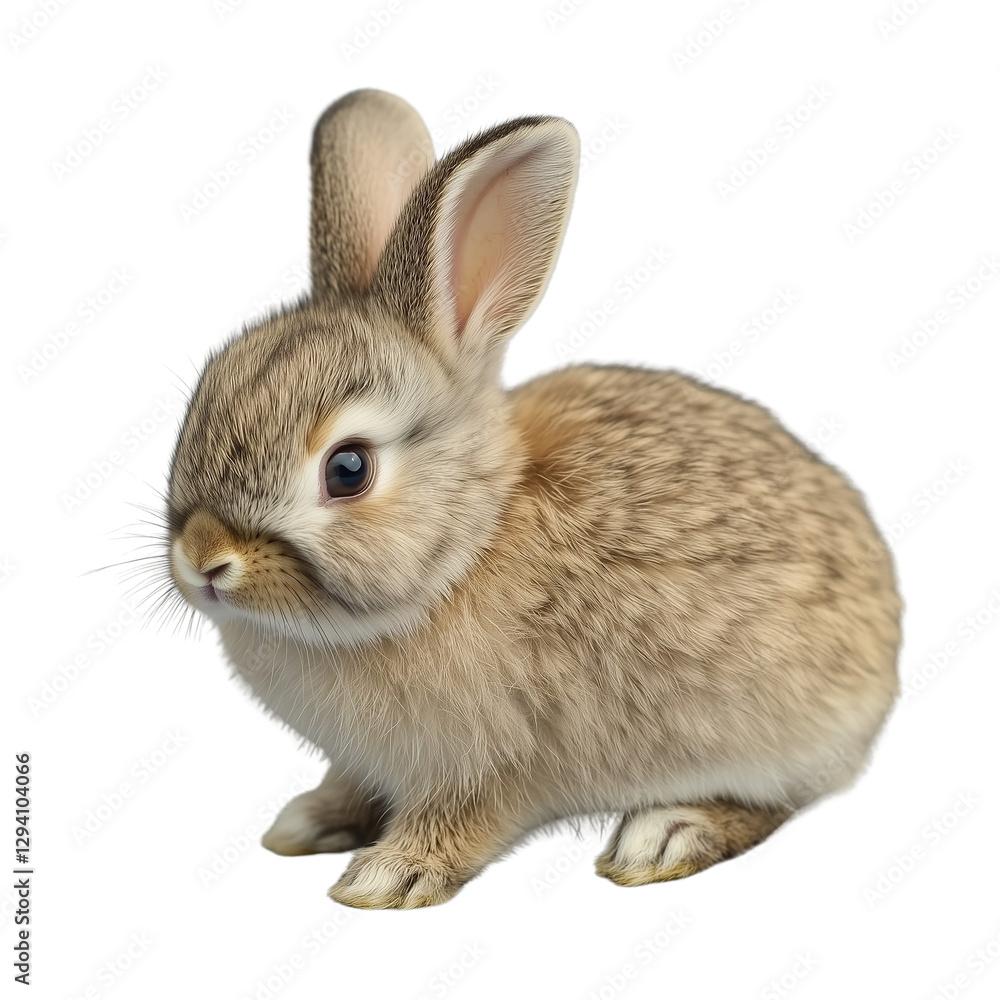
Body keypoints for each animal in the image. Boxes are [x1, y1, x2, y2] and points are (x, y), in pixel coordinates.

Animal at [166, 89, 902, 909]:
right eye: (201, 400)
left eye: (348, 469)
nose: (203, 560)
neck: (469, 544)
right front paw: (311, 822)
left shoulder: (500, 762)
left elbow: (464, 818)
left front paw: (388, 877)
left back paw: (665, 836)